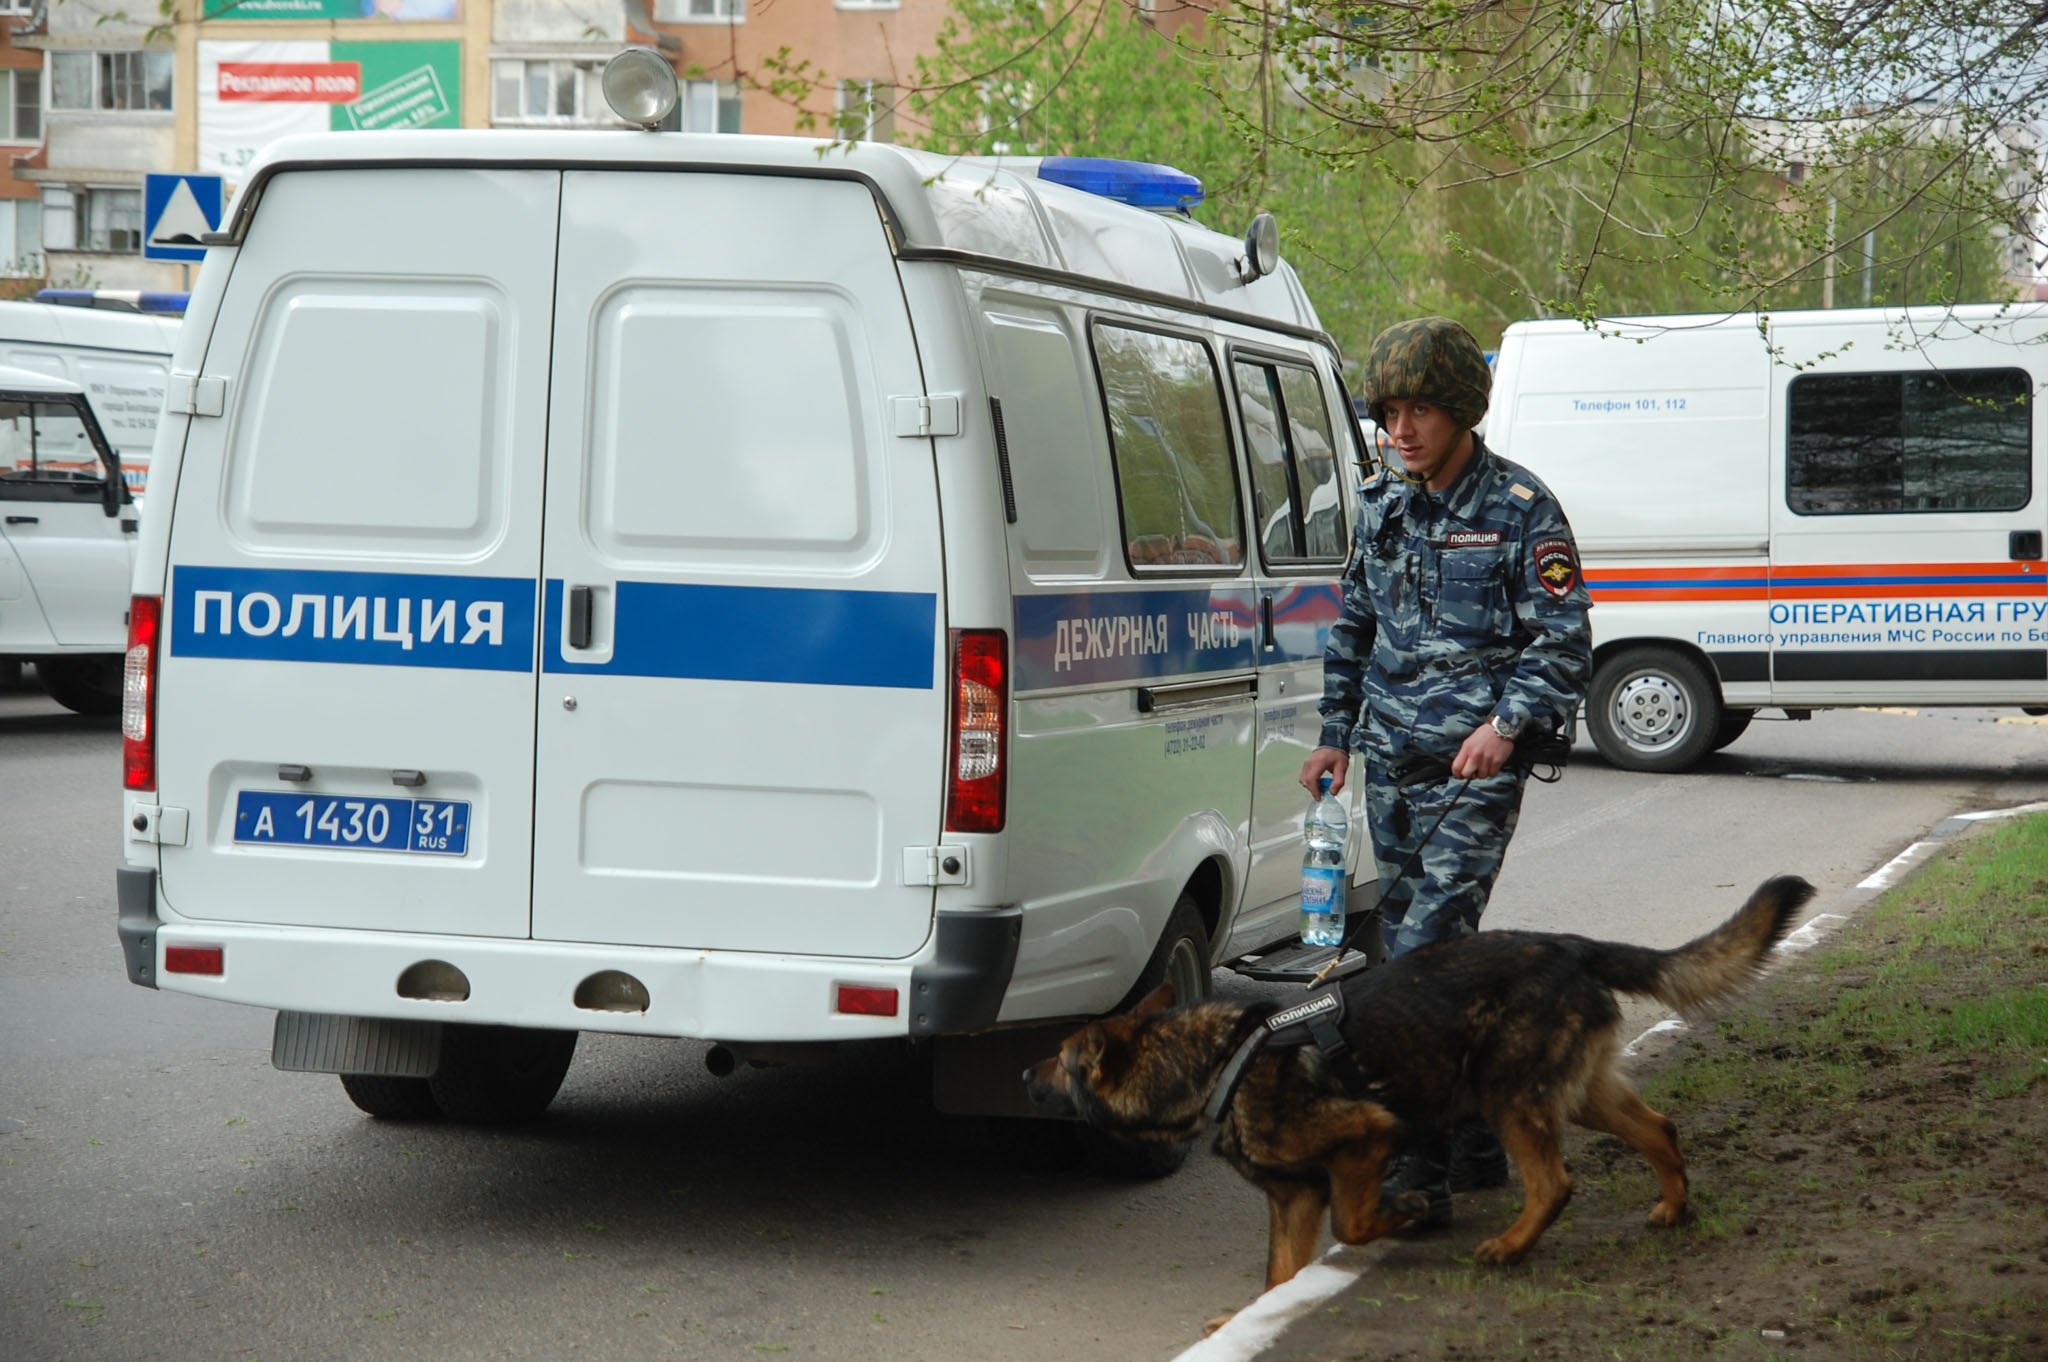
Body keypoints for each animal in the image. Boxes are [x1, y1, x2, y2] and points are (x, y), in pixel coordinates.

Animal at [1019, 872, 1810, 1286]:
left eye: (1059, 1059)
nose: (1023, 1071)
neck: (1219, 1062)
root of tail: (1570, 944)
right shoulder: (1294, 1201)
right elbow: (1280, 1274)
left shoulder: (1367, 1138)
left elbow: (1354, 1222)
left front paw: (1406, 1208)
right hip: (1579, 1094)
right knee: (1659, 1128)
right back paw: (1674, 1206)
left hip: (1505, 1096)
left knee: (1555, 1183)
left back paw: (1511, 1248)